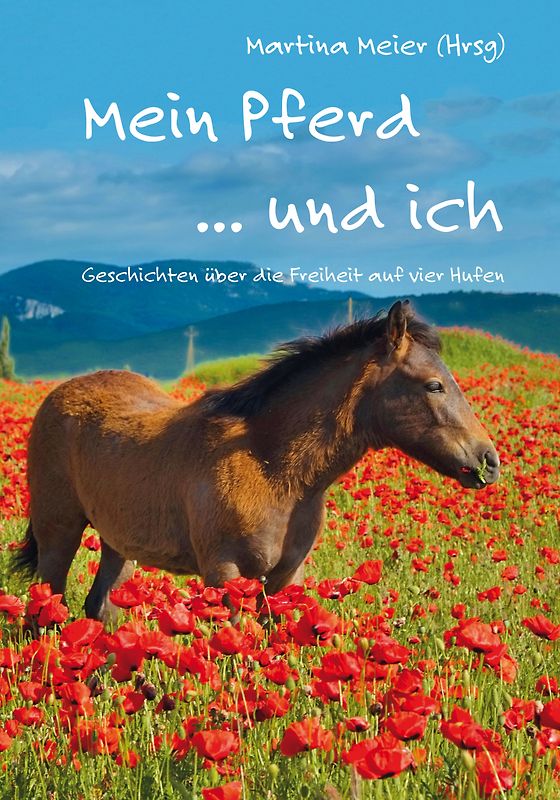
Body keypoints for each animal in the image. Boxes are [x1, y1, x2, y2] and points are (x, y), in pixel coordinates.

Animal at [14, 301, 500, 622]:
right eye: (434, 385)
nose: (489, 460)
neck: (272, 470)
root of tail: (58, 395)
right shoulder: (225, 574)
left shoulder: (285, 579)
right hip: (59, 533)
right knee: (45, 608)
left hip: (119, 544)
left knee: (99, 608)